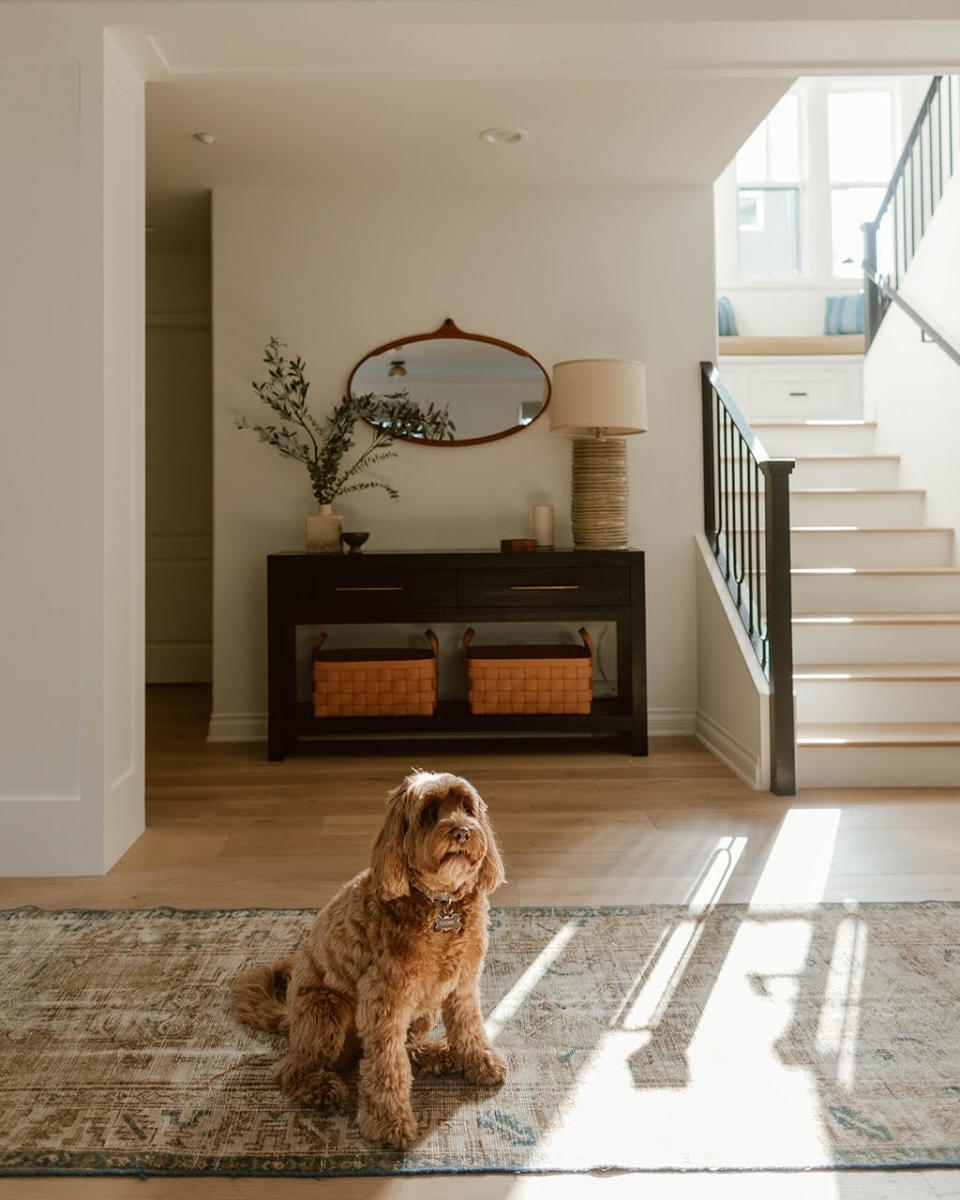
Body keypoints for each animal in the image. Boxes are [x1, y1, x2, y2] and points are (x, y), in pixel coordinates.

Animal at [229, 772, 506, 1147]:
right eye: (430, 812)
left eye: (467, 807)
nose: (463, 832)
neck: (440, 904)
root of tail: (291, 1020)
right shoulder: (383, 1002)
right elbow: (387, 1067)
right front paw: (389, 1124)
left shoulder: (462, 985)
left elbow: (470, 1028)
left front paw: (480, 1062)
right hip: (327, 1009)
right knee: (290, 1068)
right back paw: (321, 1088)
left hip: (422, 1012)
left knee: (407, 1048)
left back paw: (439, 1055)